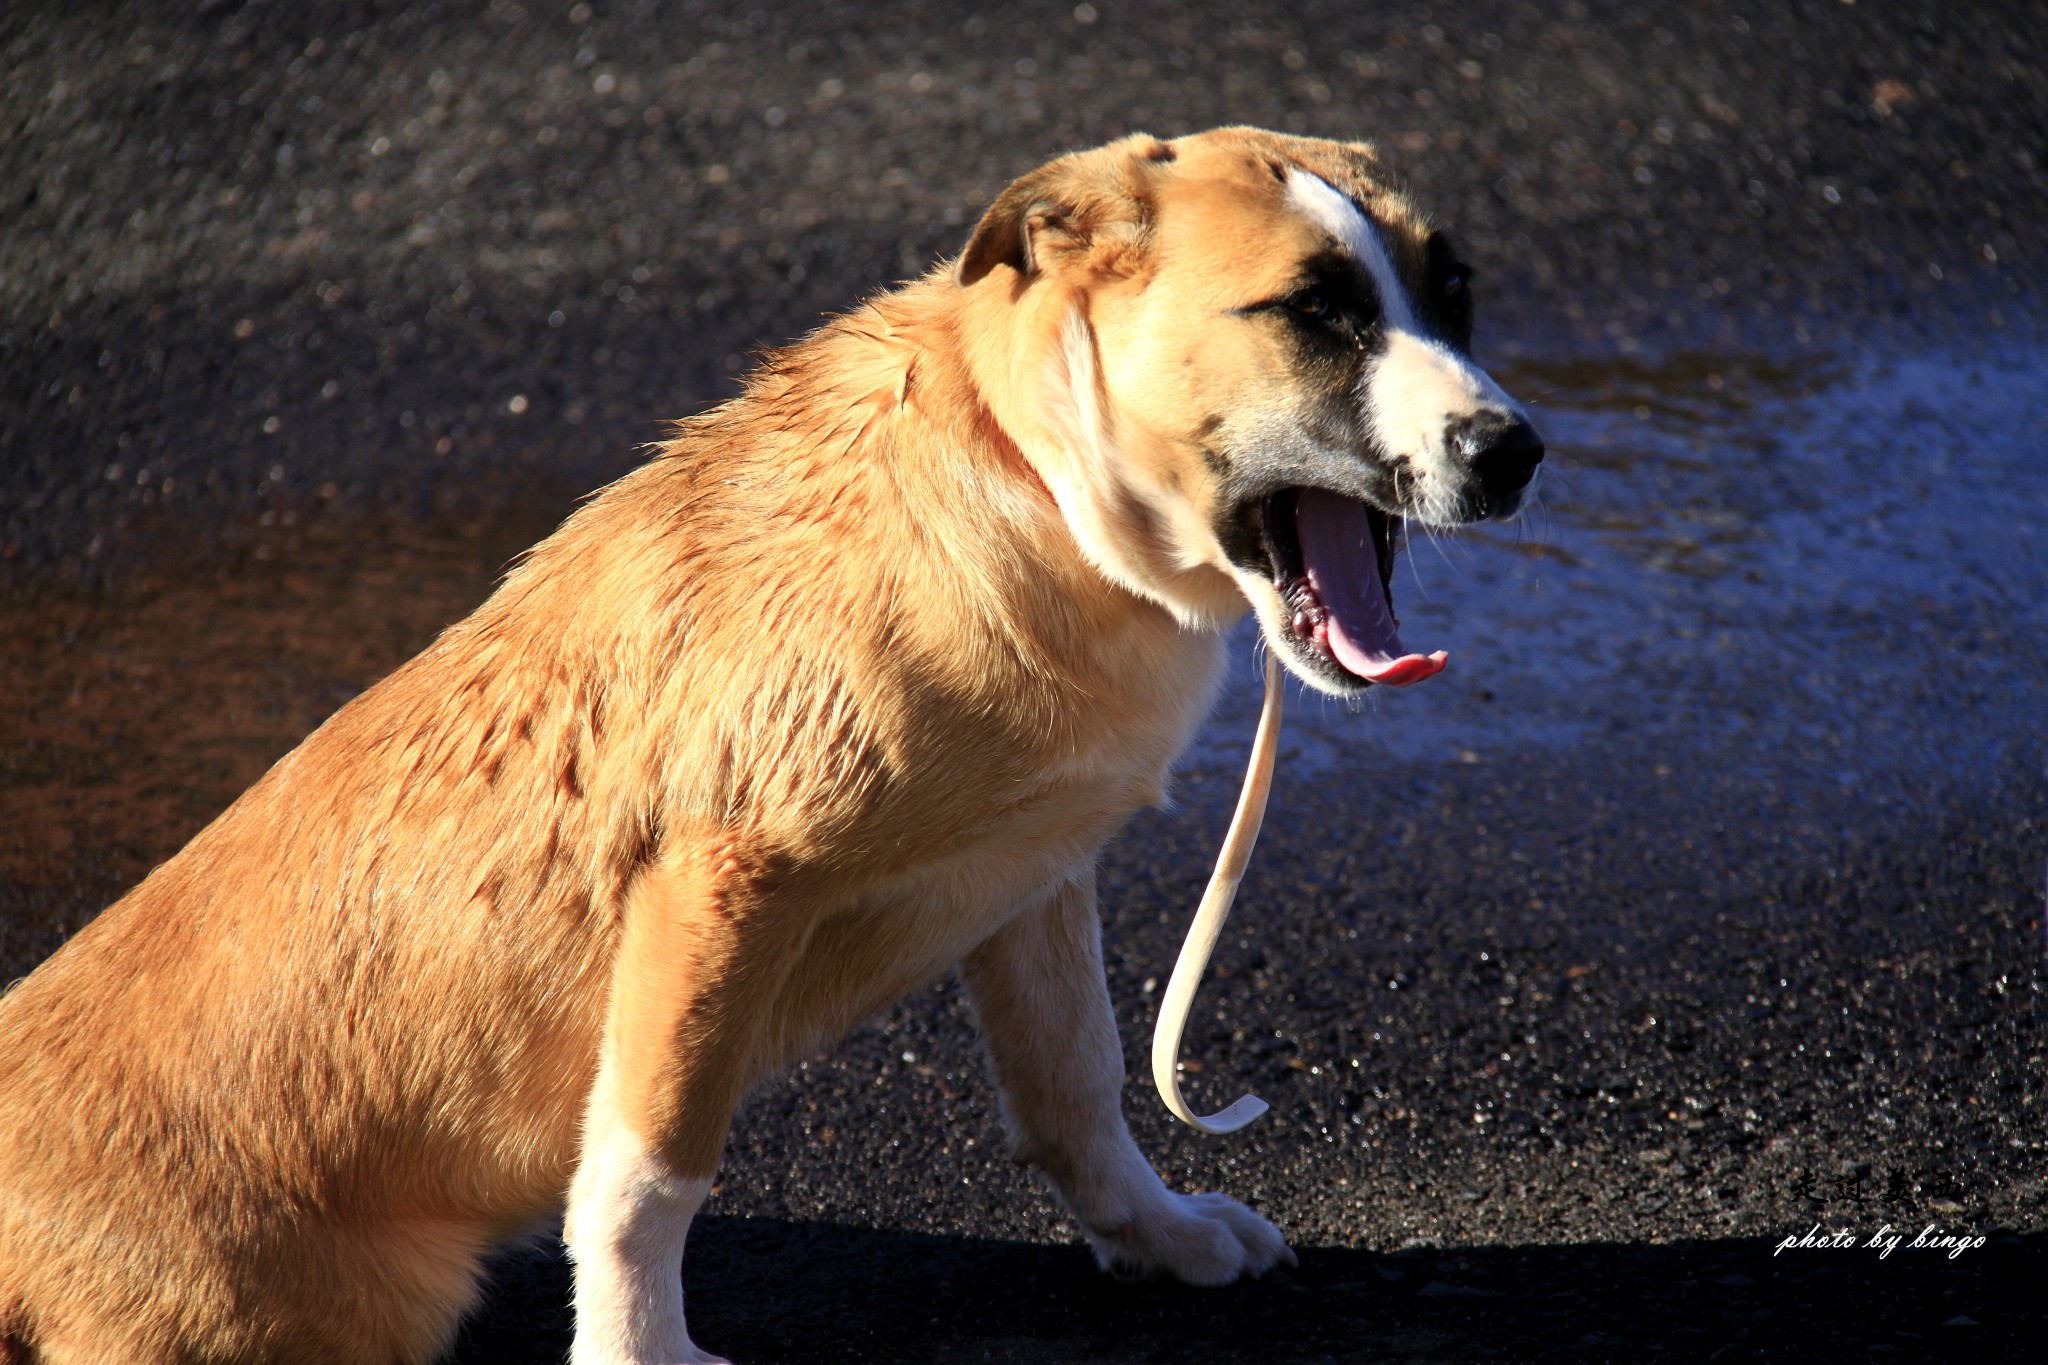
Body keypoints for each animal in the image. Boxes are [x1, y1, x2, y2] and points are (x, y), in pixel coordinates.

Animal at [0, 122, 1540, 1358]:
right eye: (1313, 311)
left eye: (1454, 289)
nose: (1517, 452)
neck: (1032, 486)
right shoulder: (716, 887)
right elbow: (645, 1175)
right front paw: (640, 1354)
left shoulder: (1036, 874)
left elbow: (1078, 1080)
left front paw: (1152, 1236)